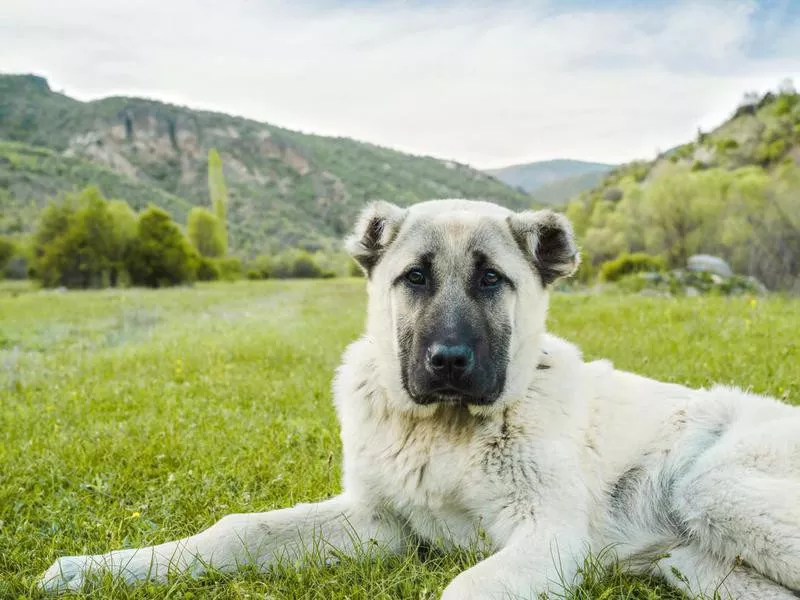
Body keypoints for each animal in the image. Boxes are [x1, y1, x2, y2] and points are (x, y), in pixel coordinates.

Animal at [40, 199, 800, 596]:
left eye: (492, 279)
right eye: (415, 278)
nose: (449, 362)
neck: (447, 430)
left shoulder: (550, 537)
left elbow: (463, 587)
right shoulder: (378, 522)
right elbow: (238, 530)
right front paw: (99, 569)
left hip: (711, 486)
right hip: (700, 567)